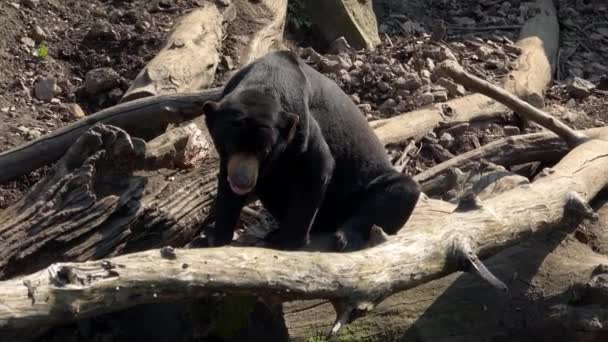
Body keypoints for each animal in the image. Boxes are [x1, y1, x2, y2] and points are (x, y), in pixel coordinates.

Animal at [202, 50, 420, 252]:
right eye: (230, 145)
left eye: (264, 151)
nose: (243, 181)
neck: (263, 83)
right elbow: (225, 186)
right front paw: (215, 237)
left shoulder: (301, 121)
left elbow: (317, 164)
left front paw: (287, 241)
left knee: (401, 191)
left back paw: (343, 237)